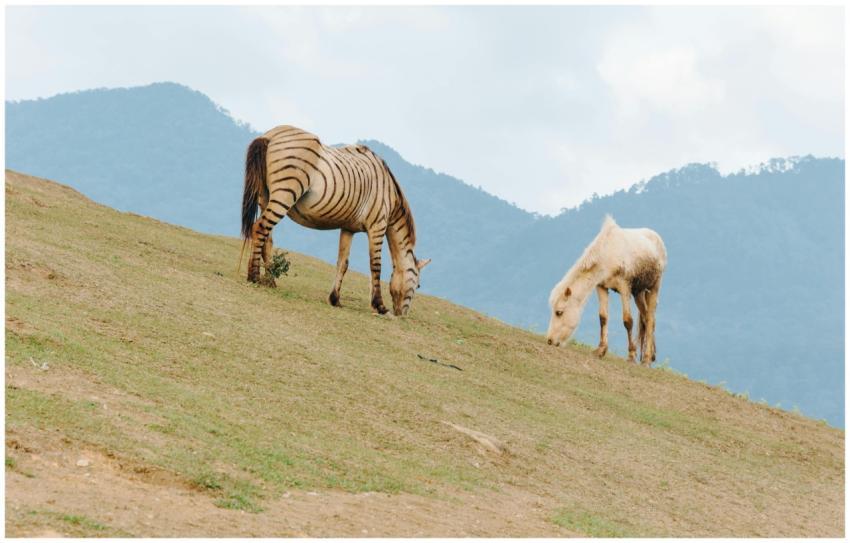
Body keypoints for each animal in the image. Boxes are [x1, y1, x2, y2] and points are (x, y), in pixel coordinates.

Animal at [241, 125, 430, 316]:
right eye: (418, 285)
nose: (402, 316)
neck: (389, 196)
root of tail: (271, 135)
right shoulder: (378, 226)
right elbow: (375, 265)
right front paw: (379, 306)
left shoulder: (348, 228)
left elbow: (343, 263)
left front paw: (335, 299)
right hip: (285, 194)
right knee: (259, 228)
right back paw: (254, 276)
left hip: (265, 197)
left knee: (267, 237)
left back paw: (269, 280)